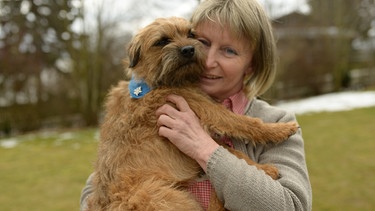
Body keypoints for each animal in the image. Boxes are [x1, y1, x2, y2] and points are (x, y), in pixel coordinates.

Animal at [86, 17, 300, 210]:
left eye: (191, 34)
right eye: (162, 41)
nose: (189, 49)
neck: (154, 83)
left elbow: (230, 150)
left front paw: (264, 167)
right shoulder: (207, 108)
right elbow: (243, 124)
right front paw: (281, 129)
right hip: (173, 201)